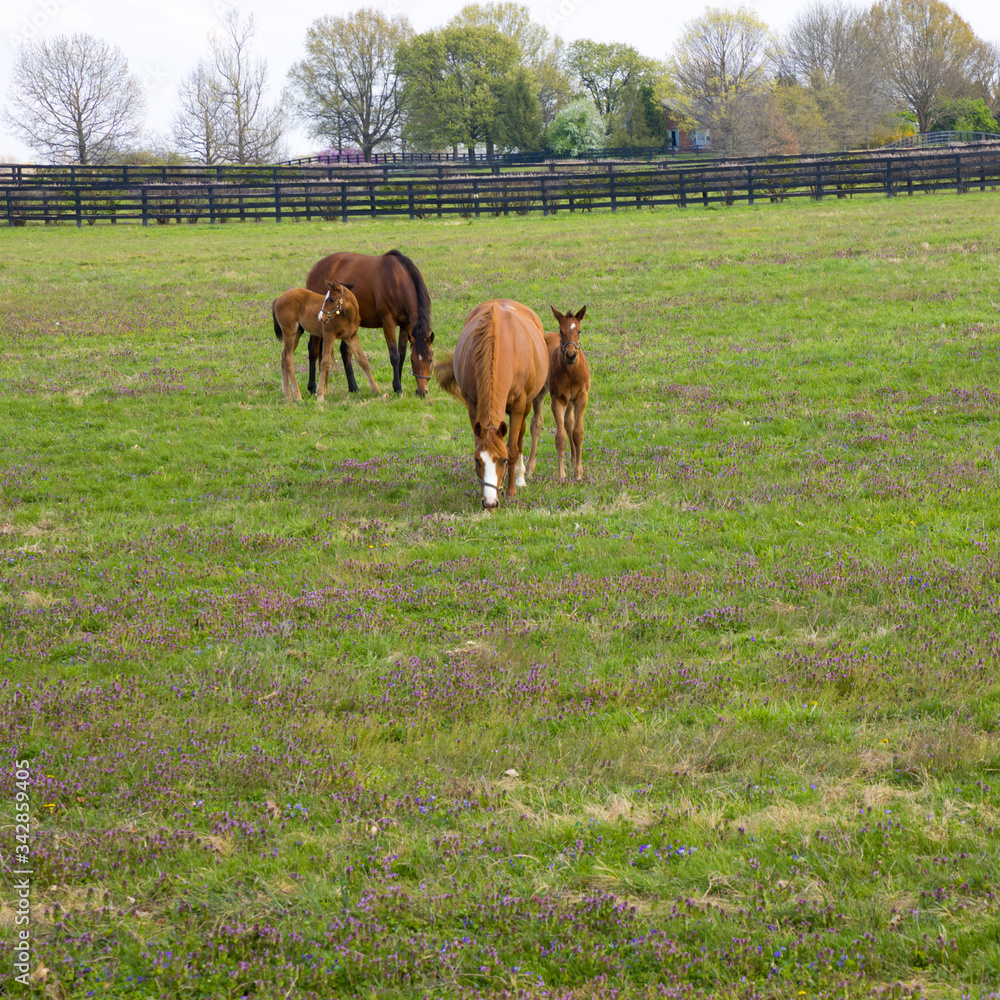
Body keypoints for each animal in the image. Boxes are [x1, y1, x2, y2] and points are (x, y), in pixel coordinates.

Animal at [304, 249, 433, 397]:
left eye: (431, 359)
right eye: (413, 360)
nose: (422, 391)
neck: (397, 281)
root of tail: (315, 268)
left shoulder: (405, 325)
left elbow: (401, 355)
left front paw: (397, 385)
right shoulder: (388, 322)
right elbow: (394, 355)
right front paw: (398, 387)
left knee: (345, 352)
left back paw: (353, 387)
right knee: (313, 350)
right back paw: (312, 387)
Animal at [434, 299, 549, 510]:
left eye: (502, 460)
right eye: (478, 461)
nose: (489, 502)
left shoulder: (519, 405)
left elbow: (512, 447)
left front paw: (511, 491)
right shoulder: (473, 405)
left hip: (527, 404)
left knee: (520, 436)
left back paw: (520, 477)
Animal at [525, 306, 591, 482]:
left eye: (579, 331)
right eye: (561, 331)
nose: (570, 354)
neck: (571, 372)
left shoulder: (581, 398)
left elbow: (578, 432)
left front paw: (578, 472)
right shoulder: (558, 399)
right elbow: (560, 437)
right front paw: (561, 475)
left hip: (570, 400)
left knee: (568, 421)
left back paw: (573, 459)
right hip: (541, 392)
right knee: (536, 424)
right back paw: (529, 469)